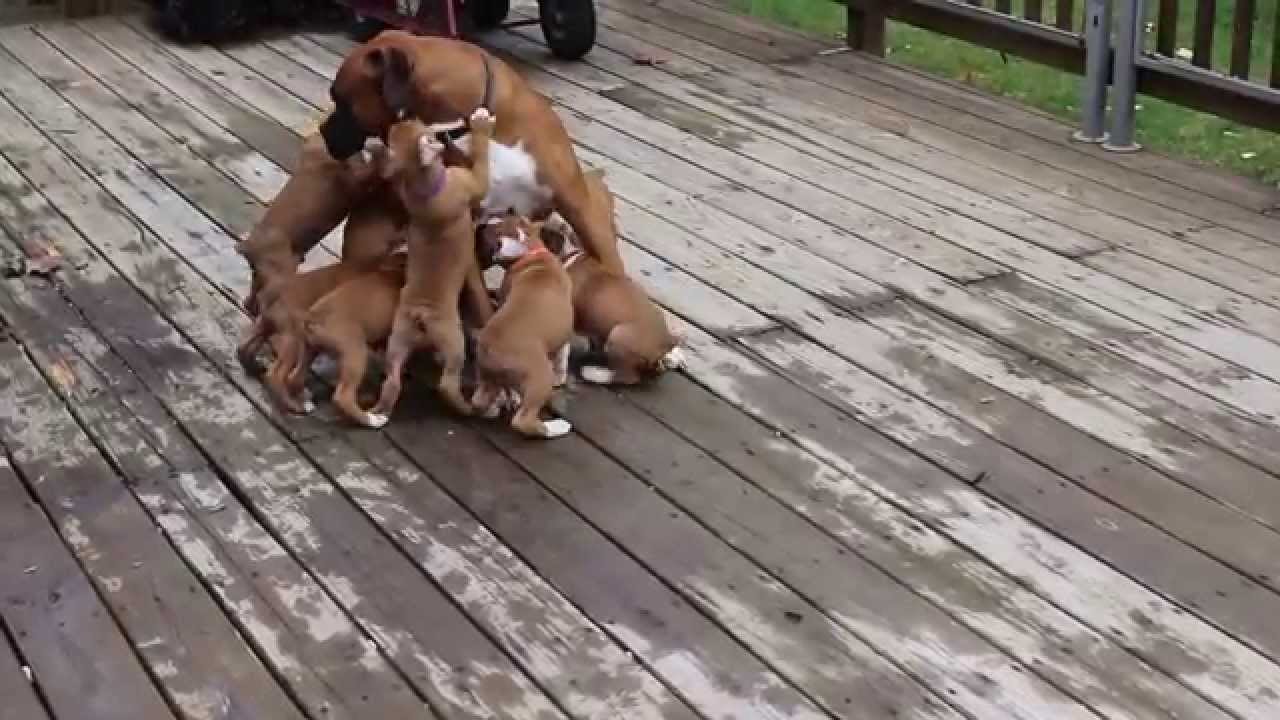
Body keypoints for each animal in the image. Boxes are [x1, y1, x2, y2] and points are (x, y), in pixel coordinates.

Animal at [473, 212, 573, 438]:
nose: (483, 224)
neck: (532, 254)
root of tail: (490, 350)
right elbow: (563, 353)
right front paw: (561, 375)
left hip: (489, 377)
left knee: (479, 401)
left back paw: (495, 407)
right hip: (540, 377)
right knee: (523, 421)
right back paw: (557, 427)